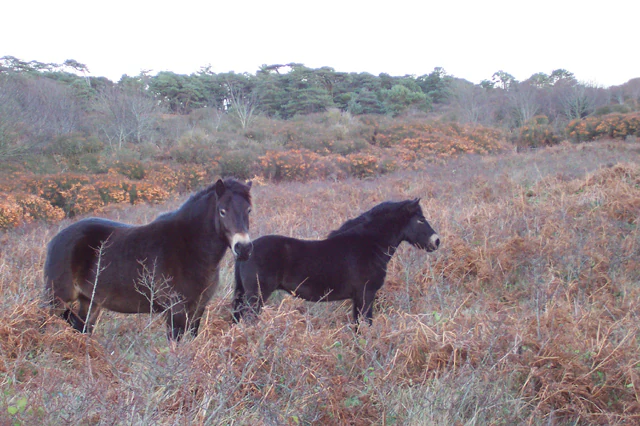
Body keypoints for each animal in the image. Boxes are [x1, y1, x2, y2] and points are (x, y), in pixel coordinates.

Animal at [44, 178, 253, 340]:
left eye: (249, 210)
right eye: (222, 211)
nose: (243, 248)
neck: (189, 247)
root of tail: (56, 239)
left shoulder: (198, 310)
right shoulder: (175, 311)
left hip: (90, 302)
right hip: (56, 300)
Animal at [232, 198, 440, 325]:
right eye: (421, 220)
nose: (436, 241)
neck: (368, 245)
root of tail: (245, 249)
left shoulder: (358, 298)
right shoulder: (366, 295)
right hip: (256, 297)